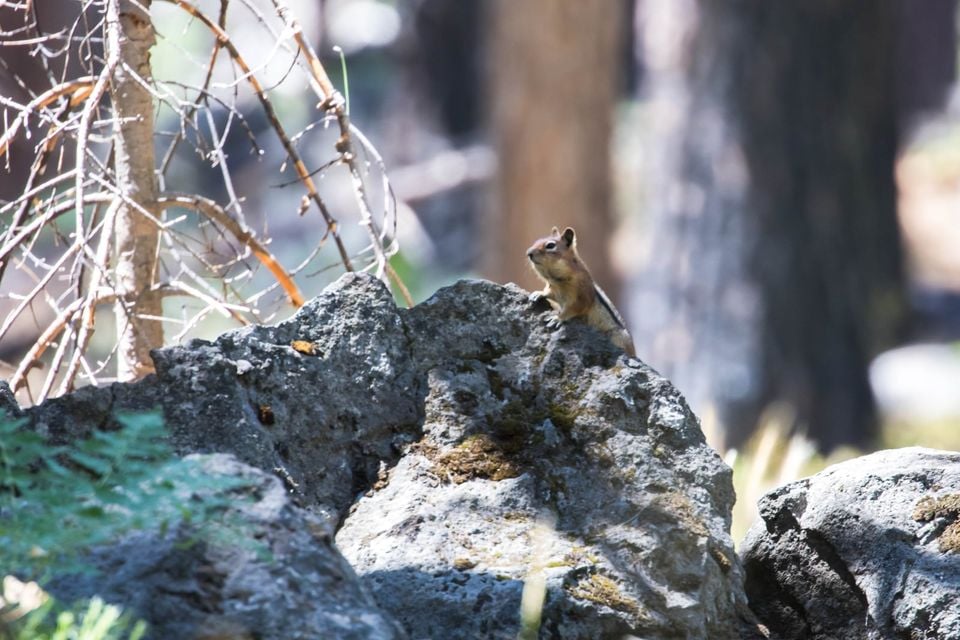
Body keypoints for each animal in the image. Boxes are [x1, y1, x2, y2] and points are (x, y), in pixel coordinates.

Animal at [526, 226, 636, 357]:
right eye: (536, 241)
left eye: (550, 245)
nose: (528, 253)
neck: (557, 280)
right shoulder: (553, 288)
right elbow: (548, 292)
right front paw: (539, 293)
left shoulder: (581, 295)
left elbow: (574, 308)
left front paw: (558, 318)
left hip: (617, 336)